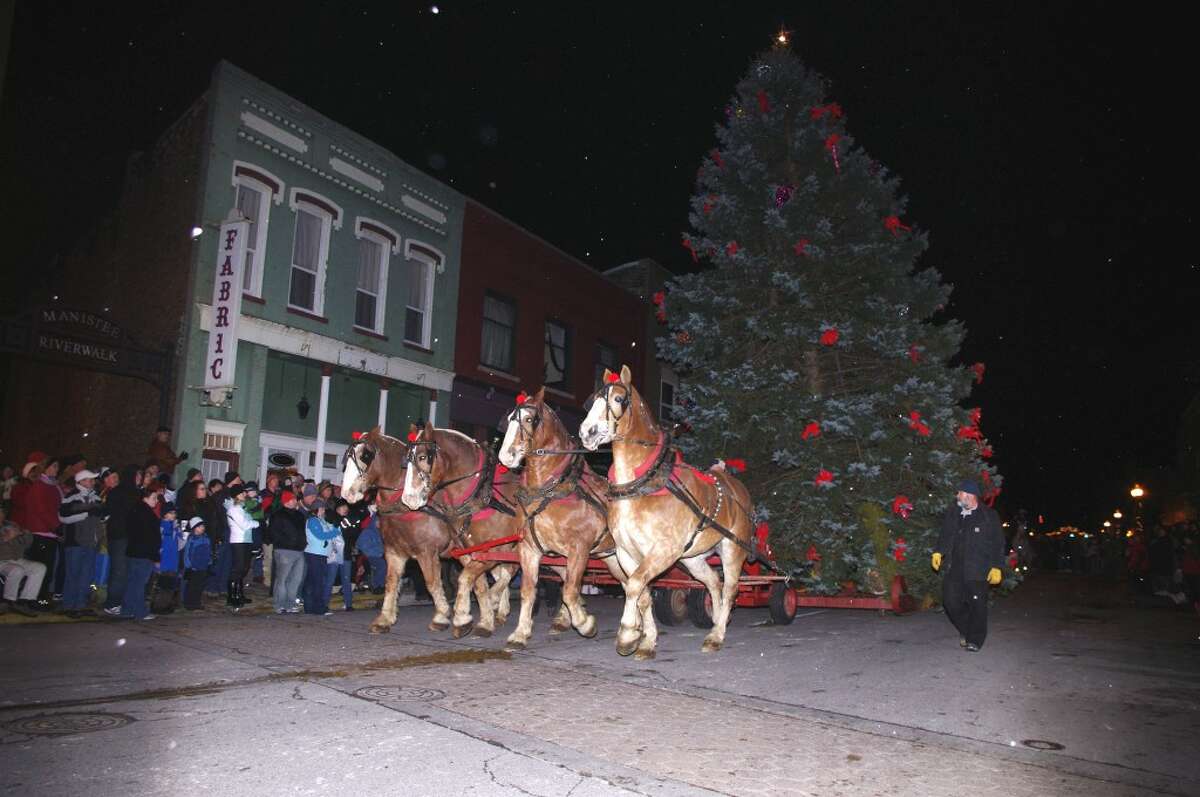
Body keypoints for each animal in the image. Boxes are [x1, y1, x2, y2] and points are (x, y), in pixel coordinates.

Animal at [343, 427, 520, 638]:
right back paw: (500, 612)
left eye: (365, 455)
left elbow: (433, 582)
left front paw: (443, 617)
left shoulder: (427, 551)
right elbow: (391, 582)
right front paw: (384, 619)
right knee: (502, 573)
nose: (347, 493)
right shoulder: (394, 551)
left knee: (508, 571)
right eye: (347, 458)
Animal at [499, 384, 628, 648]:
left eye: (529, 419)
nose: (506, 456)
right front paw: (520, 632)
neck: (550, 489)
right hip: (612, 557)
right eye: (509, 420)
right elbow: (529, 590)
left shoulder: (579, 548)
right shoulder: (529, 548)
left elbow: (569, 590)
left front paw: (586, 624)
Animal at [576, 364, 753, 657]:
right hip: (693, 558)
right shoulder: (626, 553)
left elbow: (635, 585)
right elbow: (642, 594)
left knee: (729, 589)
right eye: (591, 401)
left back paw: (716, 635)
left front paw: (627, 635)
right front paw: (646, 641)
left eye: (618, 399)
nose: (586, 432)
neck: (639, 484)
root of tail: (737, 488)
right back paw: (717, 620)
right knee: (713, 583)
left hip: (732, 549)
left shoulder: (663, 550)